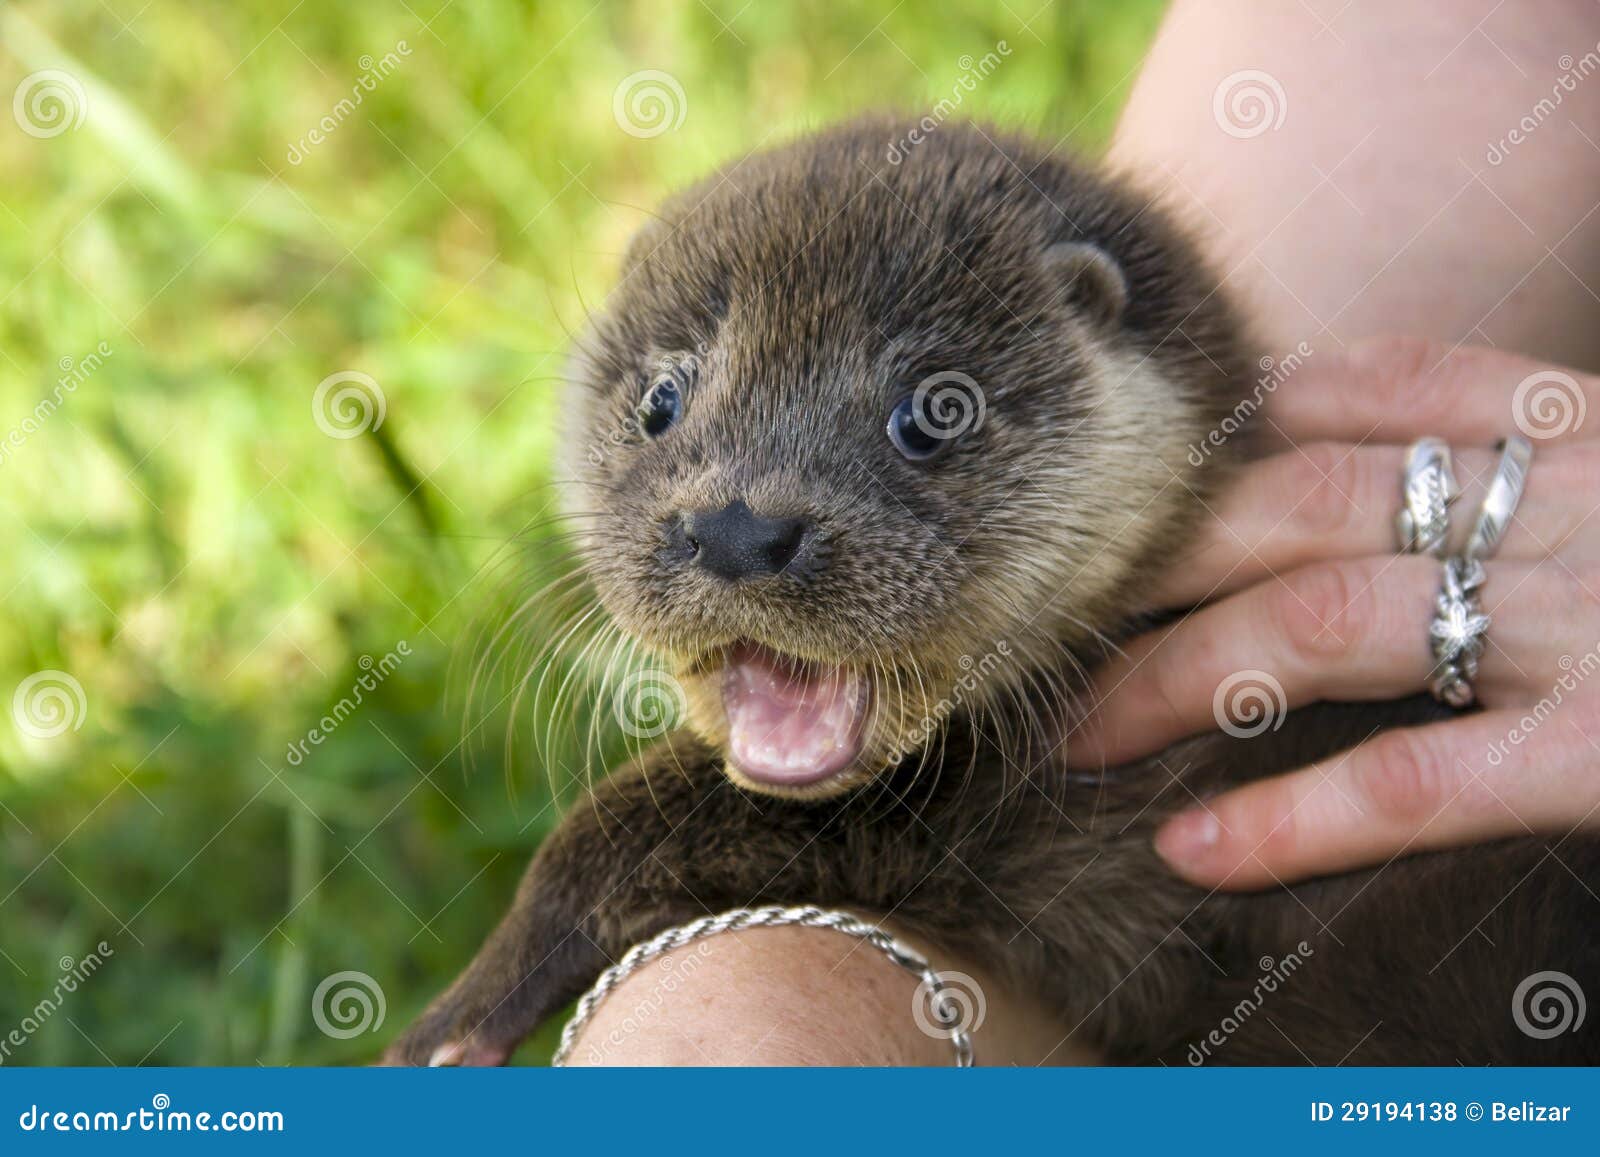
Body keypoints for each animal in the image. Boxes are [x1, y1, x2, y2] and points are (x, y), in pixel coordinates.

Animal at [385, 118, 1599, 1066]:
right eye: (661, 399)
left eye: (933, 410)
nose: (736, 528)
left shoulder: (1060, 827)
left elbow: (640, 816)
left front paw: (460, 1009)